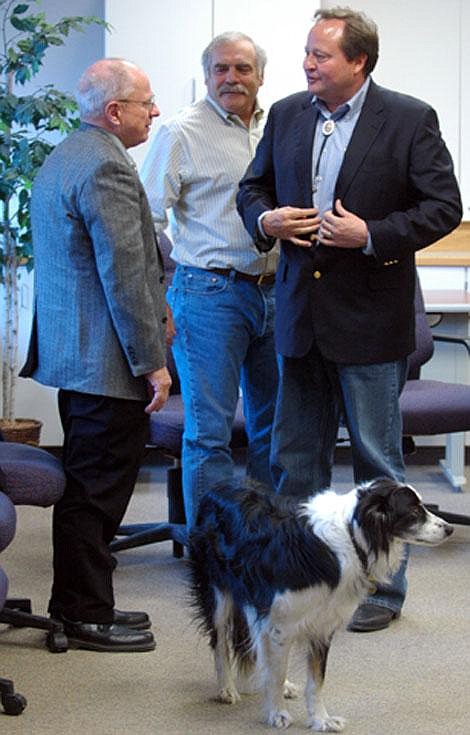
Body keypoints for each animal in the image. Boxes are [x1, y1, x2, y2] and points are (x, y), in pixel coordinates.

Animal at [189, 478, 454, 732]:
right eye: (414, 512)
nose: (450, 528)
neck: (352, 536)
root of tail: (217, 487)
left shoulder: (320, 625)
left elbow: (316, 681)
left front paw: (321, 720)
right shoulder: (281, 622)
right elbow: (277, 672)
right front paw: (277, 714)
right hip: (218, 592)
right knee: (220, 643)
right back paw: (227, 689)